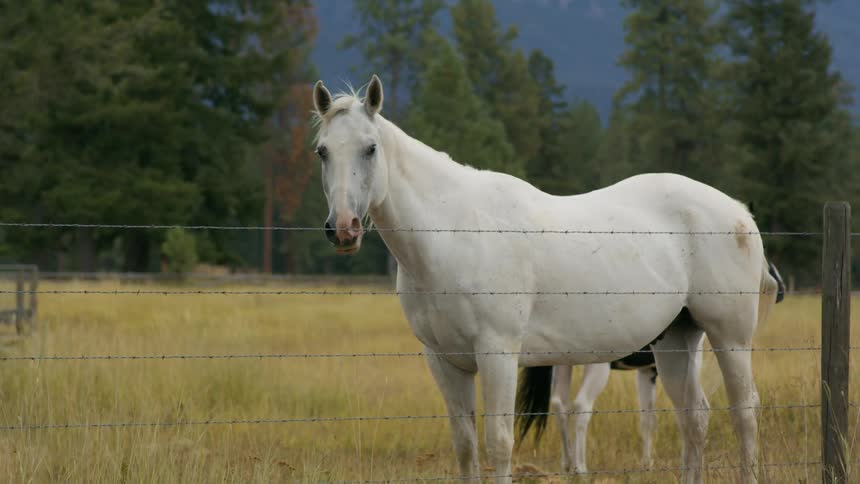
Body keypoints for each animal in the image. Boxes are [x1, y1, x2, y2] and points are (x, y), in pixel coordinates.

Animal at [549, 262, 784, 474]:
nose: (779, 284)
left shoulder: (647, 372)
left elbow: (647, 418)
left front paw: (647, 463)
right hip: (598, 368)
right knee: (581, 405)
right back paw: (580, 468)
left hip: (563, 365)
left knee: (560, 404)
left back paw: (567, 464)